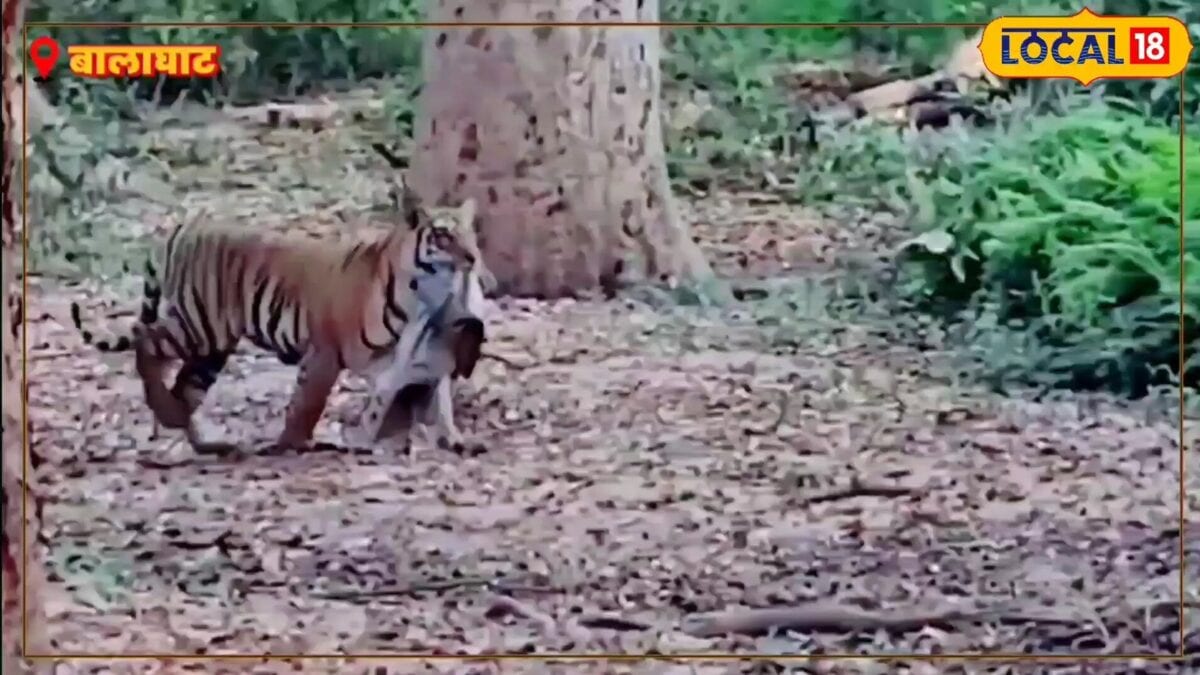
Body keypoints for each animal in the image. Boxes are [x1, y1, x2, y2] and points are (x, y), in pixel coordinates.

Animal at [70, 179, 492, 453]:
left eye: (472, 233)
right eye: (443, 235)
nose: (473, 258)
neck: (420, 297)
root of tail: (183, 223)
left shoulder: (405, 356)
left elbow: (437, 394)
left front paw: (453, 437)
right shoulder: (324, 352)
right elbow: (307, 404)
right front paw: (294, 443)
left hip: (213, 345)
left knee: (185, 386)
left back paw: (199, 437)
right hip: (199, 325)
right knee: (145, 339)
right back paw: (167, 410)